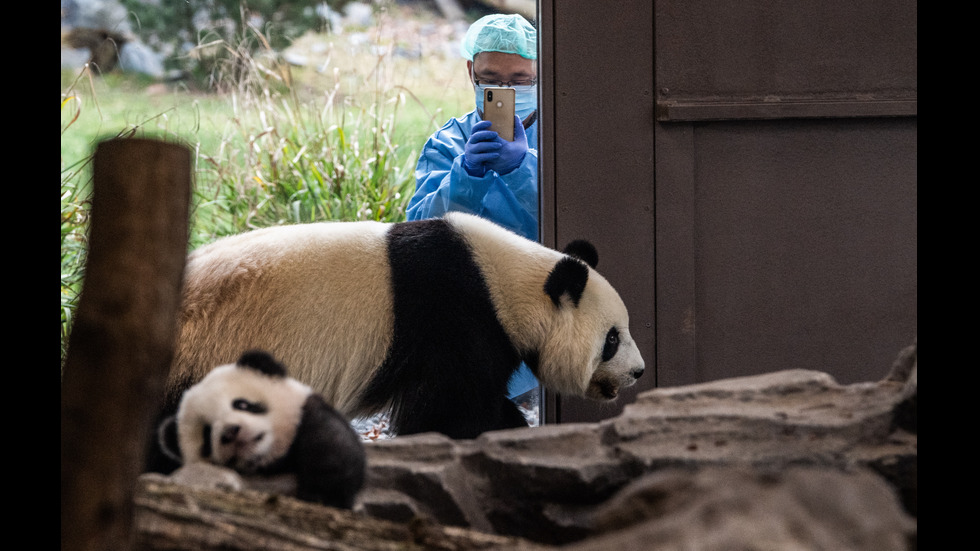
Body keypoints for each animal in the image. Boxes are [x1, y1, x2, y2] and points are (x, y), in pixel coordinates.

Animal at [166, 213, 648, 442]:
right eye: (611, 338)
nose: (638, 371)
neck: (505, 282)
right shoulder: (450, 317)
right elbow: (444, 410)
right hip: (207, 351)